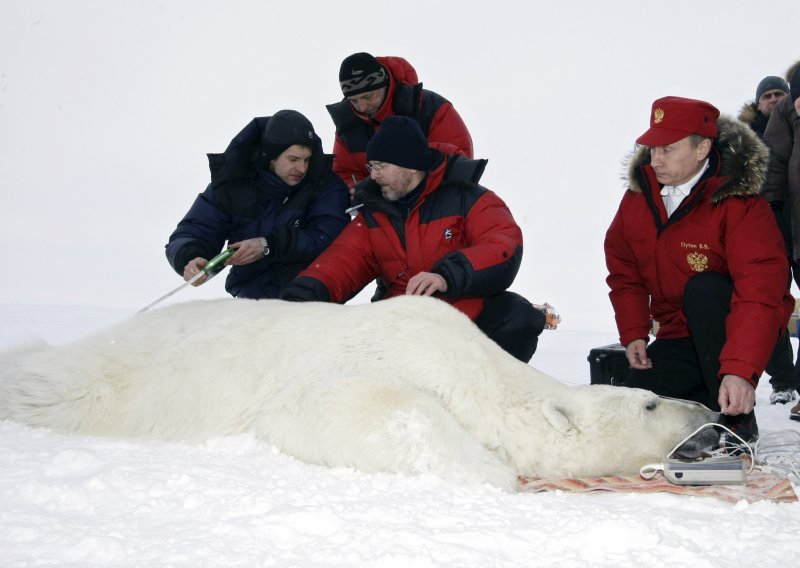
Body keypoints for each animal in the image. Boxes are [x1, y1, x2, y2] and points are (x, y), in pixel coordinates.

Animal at [0, 296, 720, 490]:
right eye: (650, 402)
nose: (709, 409)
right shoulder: (369, 360)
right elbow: (358, 408)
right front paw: (491, 470)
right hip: (105, 379)